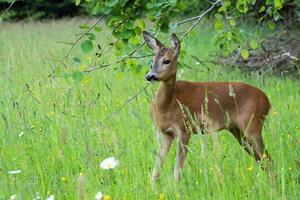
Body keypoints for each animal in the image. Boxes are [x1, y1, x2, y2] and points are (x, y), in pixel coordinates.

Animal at [142, 31, 272, 186]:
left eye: (166, 61)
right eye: (152, 61)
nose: (149, 76)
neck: (166, 105)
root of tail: (267, 101)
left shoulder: (185, 130)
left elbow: (177, 171)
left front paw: (176, 189)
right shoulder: (165, 134)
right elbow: (156, 170)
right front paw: (153, 189)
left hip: (253, 126)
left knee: (268, 160)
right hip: (238, 131)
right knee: (262, 160)